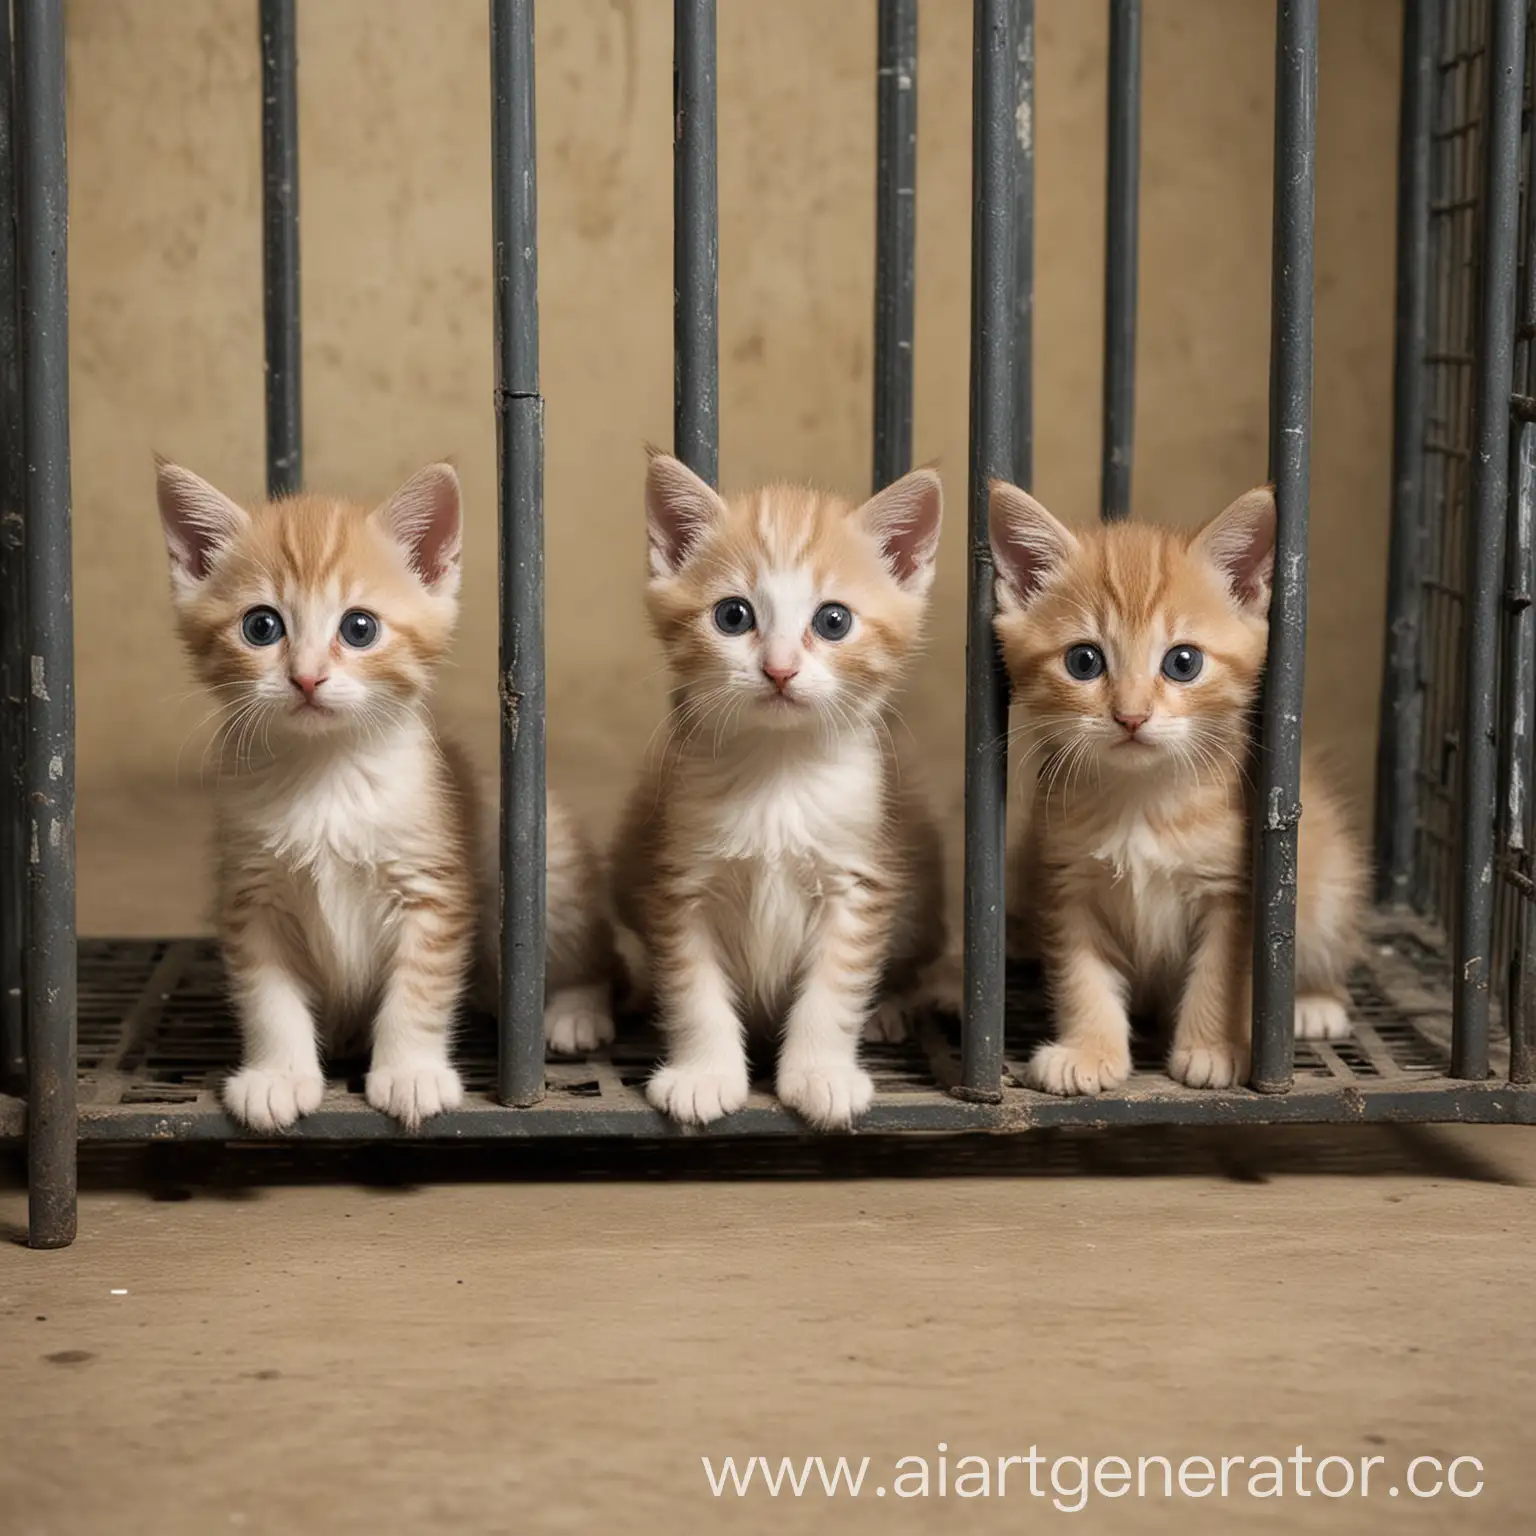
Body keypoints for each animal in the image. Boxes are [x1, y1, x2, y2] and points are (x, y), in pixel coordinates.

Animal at [155, 454, 611, 1130]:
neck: (327, 774)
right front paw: (276, 1075)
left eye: (359, 627)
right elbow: (269, 998)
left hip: (550, 866)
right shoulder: (251, 895)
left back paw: (575, 1010)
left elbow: (416, 991)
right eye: (261, 626)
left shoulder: (432, 888)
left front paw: (410, 1072)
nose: (307, 677)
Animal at [608, 451, 946, 1130]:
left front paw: (821, 1074)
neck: (778, 772)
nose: (780, 669)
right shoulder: (678, 878)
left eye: (833, 621)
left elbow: (833, 989)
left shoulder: (859, 879)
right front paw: (704, 1074)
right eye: (733, 616)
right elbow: (693, 990)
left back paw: (890, 1007)